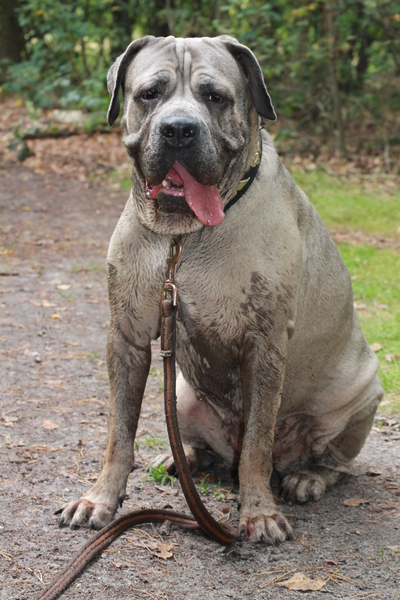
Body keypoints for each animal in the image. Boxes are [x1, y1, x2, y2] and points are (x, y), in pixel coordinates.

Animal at [57, 36, 382, 544]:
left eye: (215, 97)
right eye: (150, 93)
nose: (178, 130)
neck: (181, 239)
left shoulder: (264, 346)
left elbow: (257, 444)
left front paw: (258, 513)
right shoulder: (126, 336)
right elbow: (119, 432)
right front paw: (100, 498)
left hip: (360, 393)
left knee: (331, 461)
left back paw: (307, 476)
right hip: (185, 396)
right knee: (207, 446)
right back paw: (183, 458)